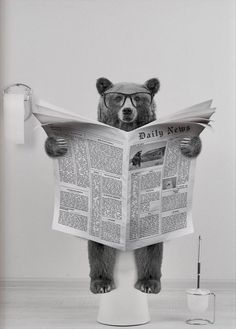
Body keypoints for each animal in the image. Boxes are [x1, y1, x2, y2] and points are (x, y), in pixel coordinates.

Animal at [44, 78, 201, 294]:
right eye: (118, 98)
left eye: (138, 98)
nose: (127, 111)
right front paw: (58, 144)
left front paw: (188, 143)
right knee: (100, 247)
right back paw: (101, 282)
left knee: (150, 247)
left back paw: (148, 282)